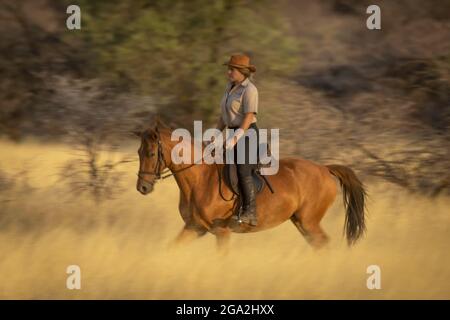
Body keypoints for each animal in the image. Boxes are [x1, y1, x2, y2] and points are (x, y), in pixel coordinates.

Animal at [134, 121, 366, 251]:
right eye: (139, 152)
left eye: (151, 153)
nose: (142, 188)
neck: (201, 179)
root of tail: (324, 169)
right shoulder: (194, 227)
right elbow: (172, 249)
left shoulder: (221, 232)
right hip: (302, 222)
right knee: (319, 245)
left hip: (309, 221)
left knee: (323, 244)